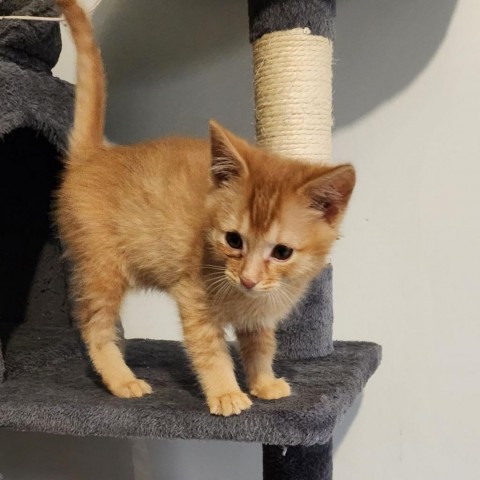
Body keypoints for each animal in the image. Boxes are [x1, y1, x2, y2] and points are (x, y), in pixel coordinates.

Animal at [55, 0, 356, 414]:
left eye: (282, 252)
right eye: (233, 240)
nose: (248, 279)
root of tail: (95, 155)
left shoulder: (257, 314)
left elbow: (261, 345)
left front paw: (263, 382)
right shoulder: (193, 297)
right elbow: (210, 349)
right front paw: (226, 392)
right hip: (103, 267)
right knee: (95, 324)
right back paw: (121, 379)